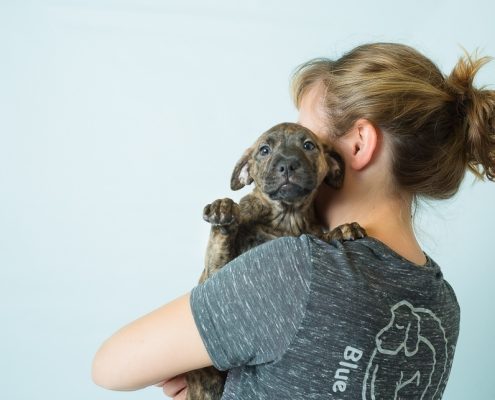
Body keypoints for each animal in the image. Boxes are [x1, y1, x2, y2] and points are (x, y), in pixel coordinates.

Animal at [184, 122, 366, 400]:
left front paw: (342, 229)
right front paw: (223, 211)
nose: (288, 164)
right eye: (264, 150)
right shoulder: (212, 278)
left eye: (308, 145)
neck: (286, 218)